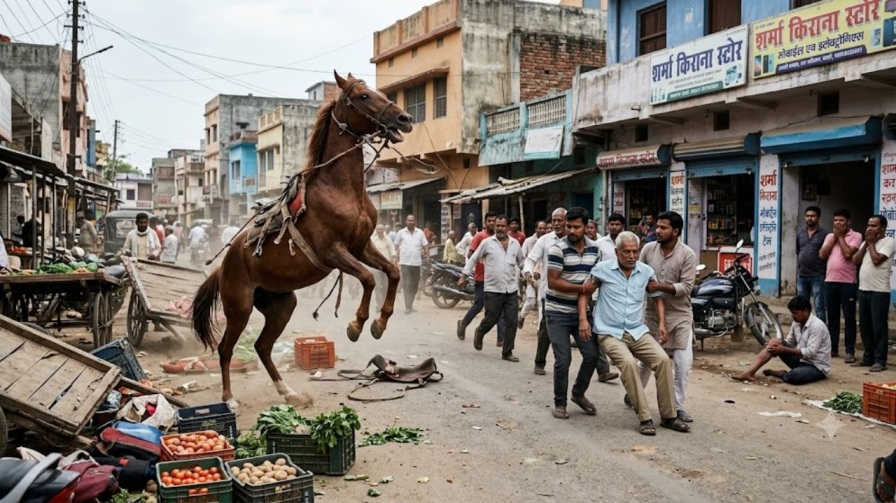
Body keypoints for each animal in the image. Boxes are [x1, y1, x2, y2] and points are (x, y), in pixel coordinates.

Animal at [191, 72, 413, 408]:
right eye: (362, 96)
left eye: (380, 93)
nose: (405, 118)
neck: (340, 189)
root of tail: (224, 265)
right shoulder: (333, 251)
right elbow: (367, 278)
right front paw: (356, 325)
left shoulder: (362, 246)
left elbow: (393, 271)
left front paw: (379, 323)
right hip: (239, 308)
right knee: (226, 348)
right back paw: (229, 398)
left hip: (282, 304)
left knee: (262, 347)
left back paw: (288, 392)